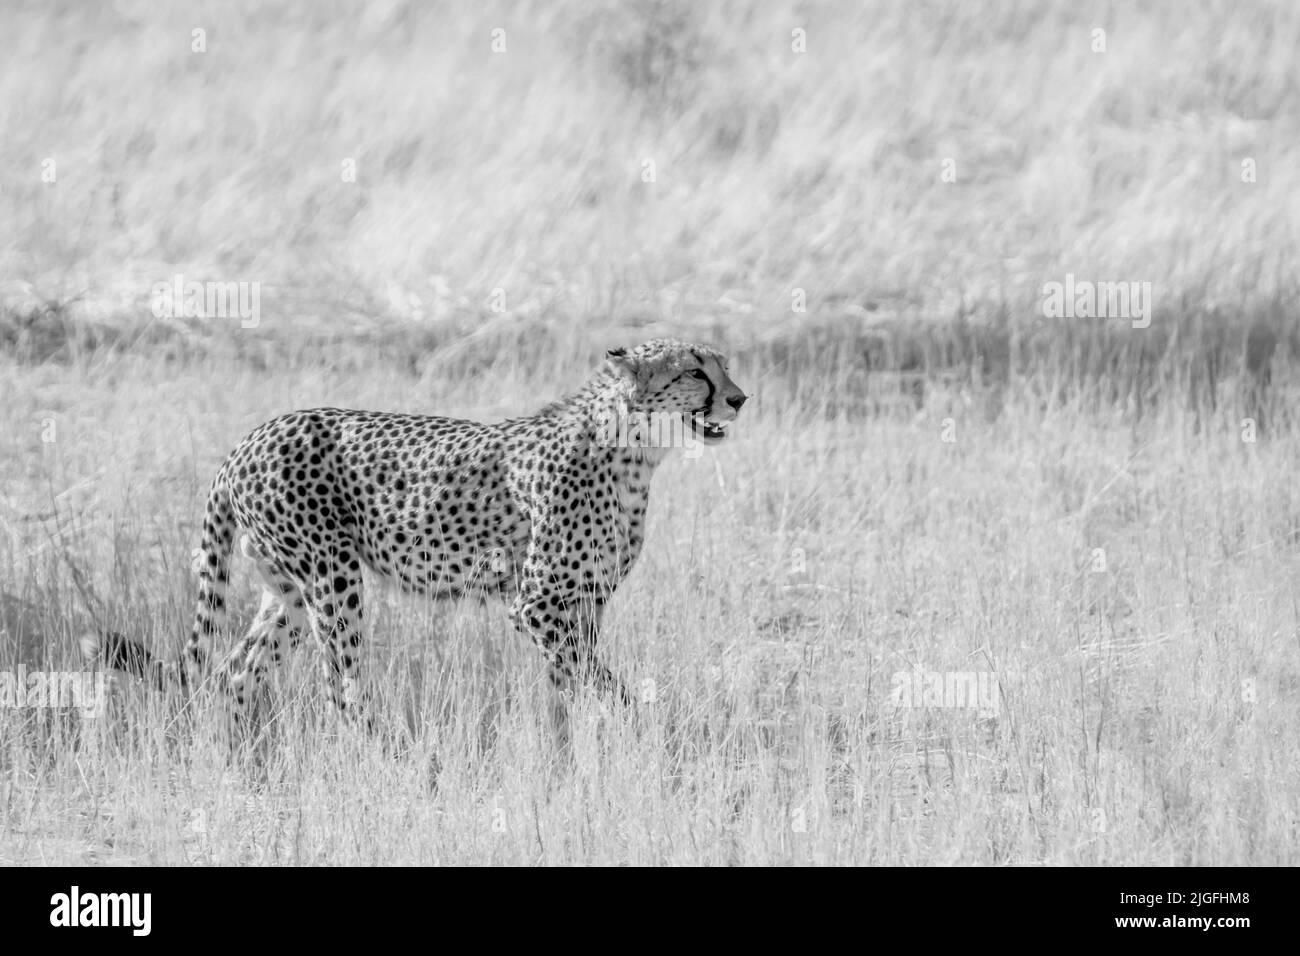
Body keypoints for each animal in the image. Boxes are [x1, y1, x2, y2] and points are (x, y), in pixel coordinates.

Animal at [86, 340, 748, 728]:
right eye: (696, 371)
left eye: (724, 366)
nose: (740, 398)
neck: (635, 453)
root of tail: (249, 439)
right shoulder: (537, 603)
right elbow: (596, 677)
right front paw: (635, 728)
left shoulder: (584, 601)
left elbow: (572, 680)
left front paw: (577, 744)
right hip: (332, 578)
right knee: (337, 684)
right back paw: (374, 756)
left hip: (289, 592)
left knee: (235, 671)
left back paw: (241, 759)